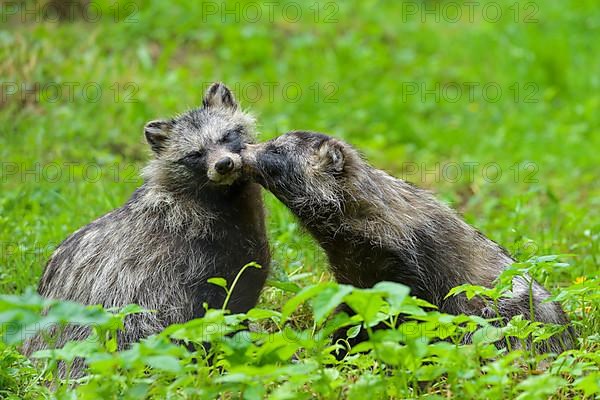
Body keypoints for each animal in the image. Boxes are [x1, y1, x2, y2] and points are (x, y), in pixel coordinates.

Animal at [21, 83, 270, 374]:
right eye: (194, 154)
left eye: (228, 135)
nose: (223, 165)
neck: (225, 198)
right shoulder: (188, 263)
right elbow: (202, 321)